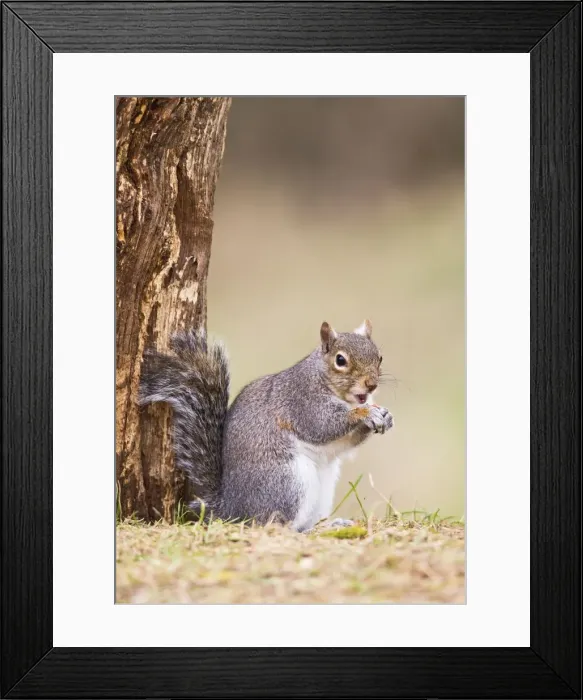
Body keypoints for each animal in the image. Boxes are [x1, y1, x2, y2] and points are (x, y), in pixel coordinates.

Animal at [138, 319, 393, 532]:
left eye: (380, 357)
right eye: (340, 360)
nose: (371, 385)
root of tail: (231, 510)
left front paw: (385, 416)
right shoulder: (302, 401)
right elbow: (323, 425)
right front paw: (365, 413)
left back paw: (330, 524)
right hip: (288, 482)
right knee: (275, 525)